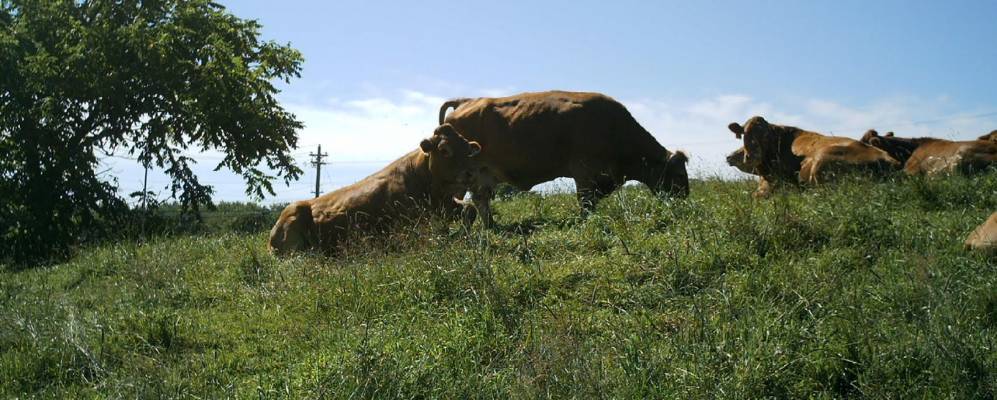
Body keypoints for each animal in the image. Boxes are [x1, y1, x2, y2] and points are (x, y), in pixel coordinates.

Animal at [268, 124, 482, 255]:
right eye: (445, 150)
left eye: (468, 151)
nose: (471, 173)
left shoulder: (445, 205)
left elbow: (470, 209)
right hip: (293, 223)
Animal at [438, 90, 689, 227]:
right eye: (678, 174)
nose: (685, 196)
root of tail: (467, 101)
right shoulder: (584, 172)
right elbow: (586, 202)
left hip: (481, 177)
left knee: (481, 200)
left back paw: (491, 226)